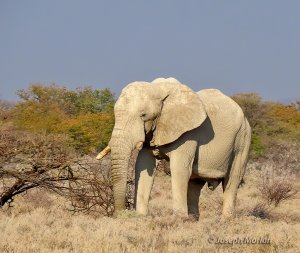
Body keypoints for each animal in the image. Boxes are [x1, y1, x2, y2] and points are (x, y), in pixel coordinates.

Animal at [96, 77, 251, 219]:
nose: (121, 214)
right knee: (195, 184)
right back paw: (193, 221)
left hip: (243, 139)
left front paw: (178, 219)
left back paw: (227, 220)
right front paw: (141, 217)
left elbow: (179, 168)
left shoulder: (189, 133)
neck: (158, 90)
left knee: (232, 181)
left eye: (144, 115)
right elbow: (143, 165)